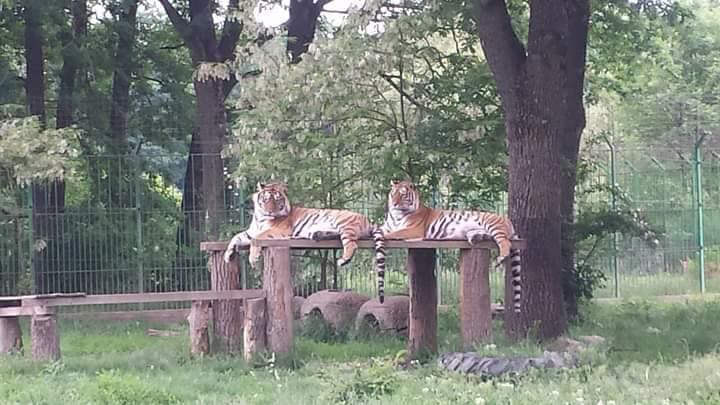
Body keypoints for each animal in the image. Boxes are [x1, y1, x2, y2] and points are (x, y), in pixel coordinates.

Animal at [223, 182, 388, 303]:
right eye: (266, 199)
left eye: (277, 199)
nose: (270, 211)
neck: (260, 217)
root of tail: (367, 219)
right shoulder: (251, 231)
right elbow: (236, 237)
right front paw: (227, 255)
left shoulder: (277, 230)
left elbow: (256, 240)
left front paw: (253, 258)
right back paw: (317, 235)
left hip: (344, 224)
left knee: (351, 244)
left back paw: (343, 259)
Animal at [380, 180, 522, 313]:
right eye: (393, 193)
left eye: (403, 194)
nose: (394, 204)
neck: (396, 216)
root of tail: (508, 221)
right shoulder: (387, 225)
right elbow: (380, 228)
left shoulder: (413, 230)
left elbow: (394, 232)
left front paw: (383, 235)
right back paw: (476, 237)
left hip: (493, 224)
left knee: (505, 242)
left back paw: (501, 258)